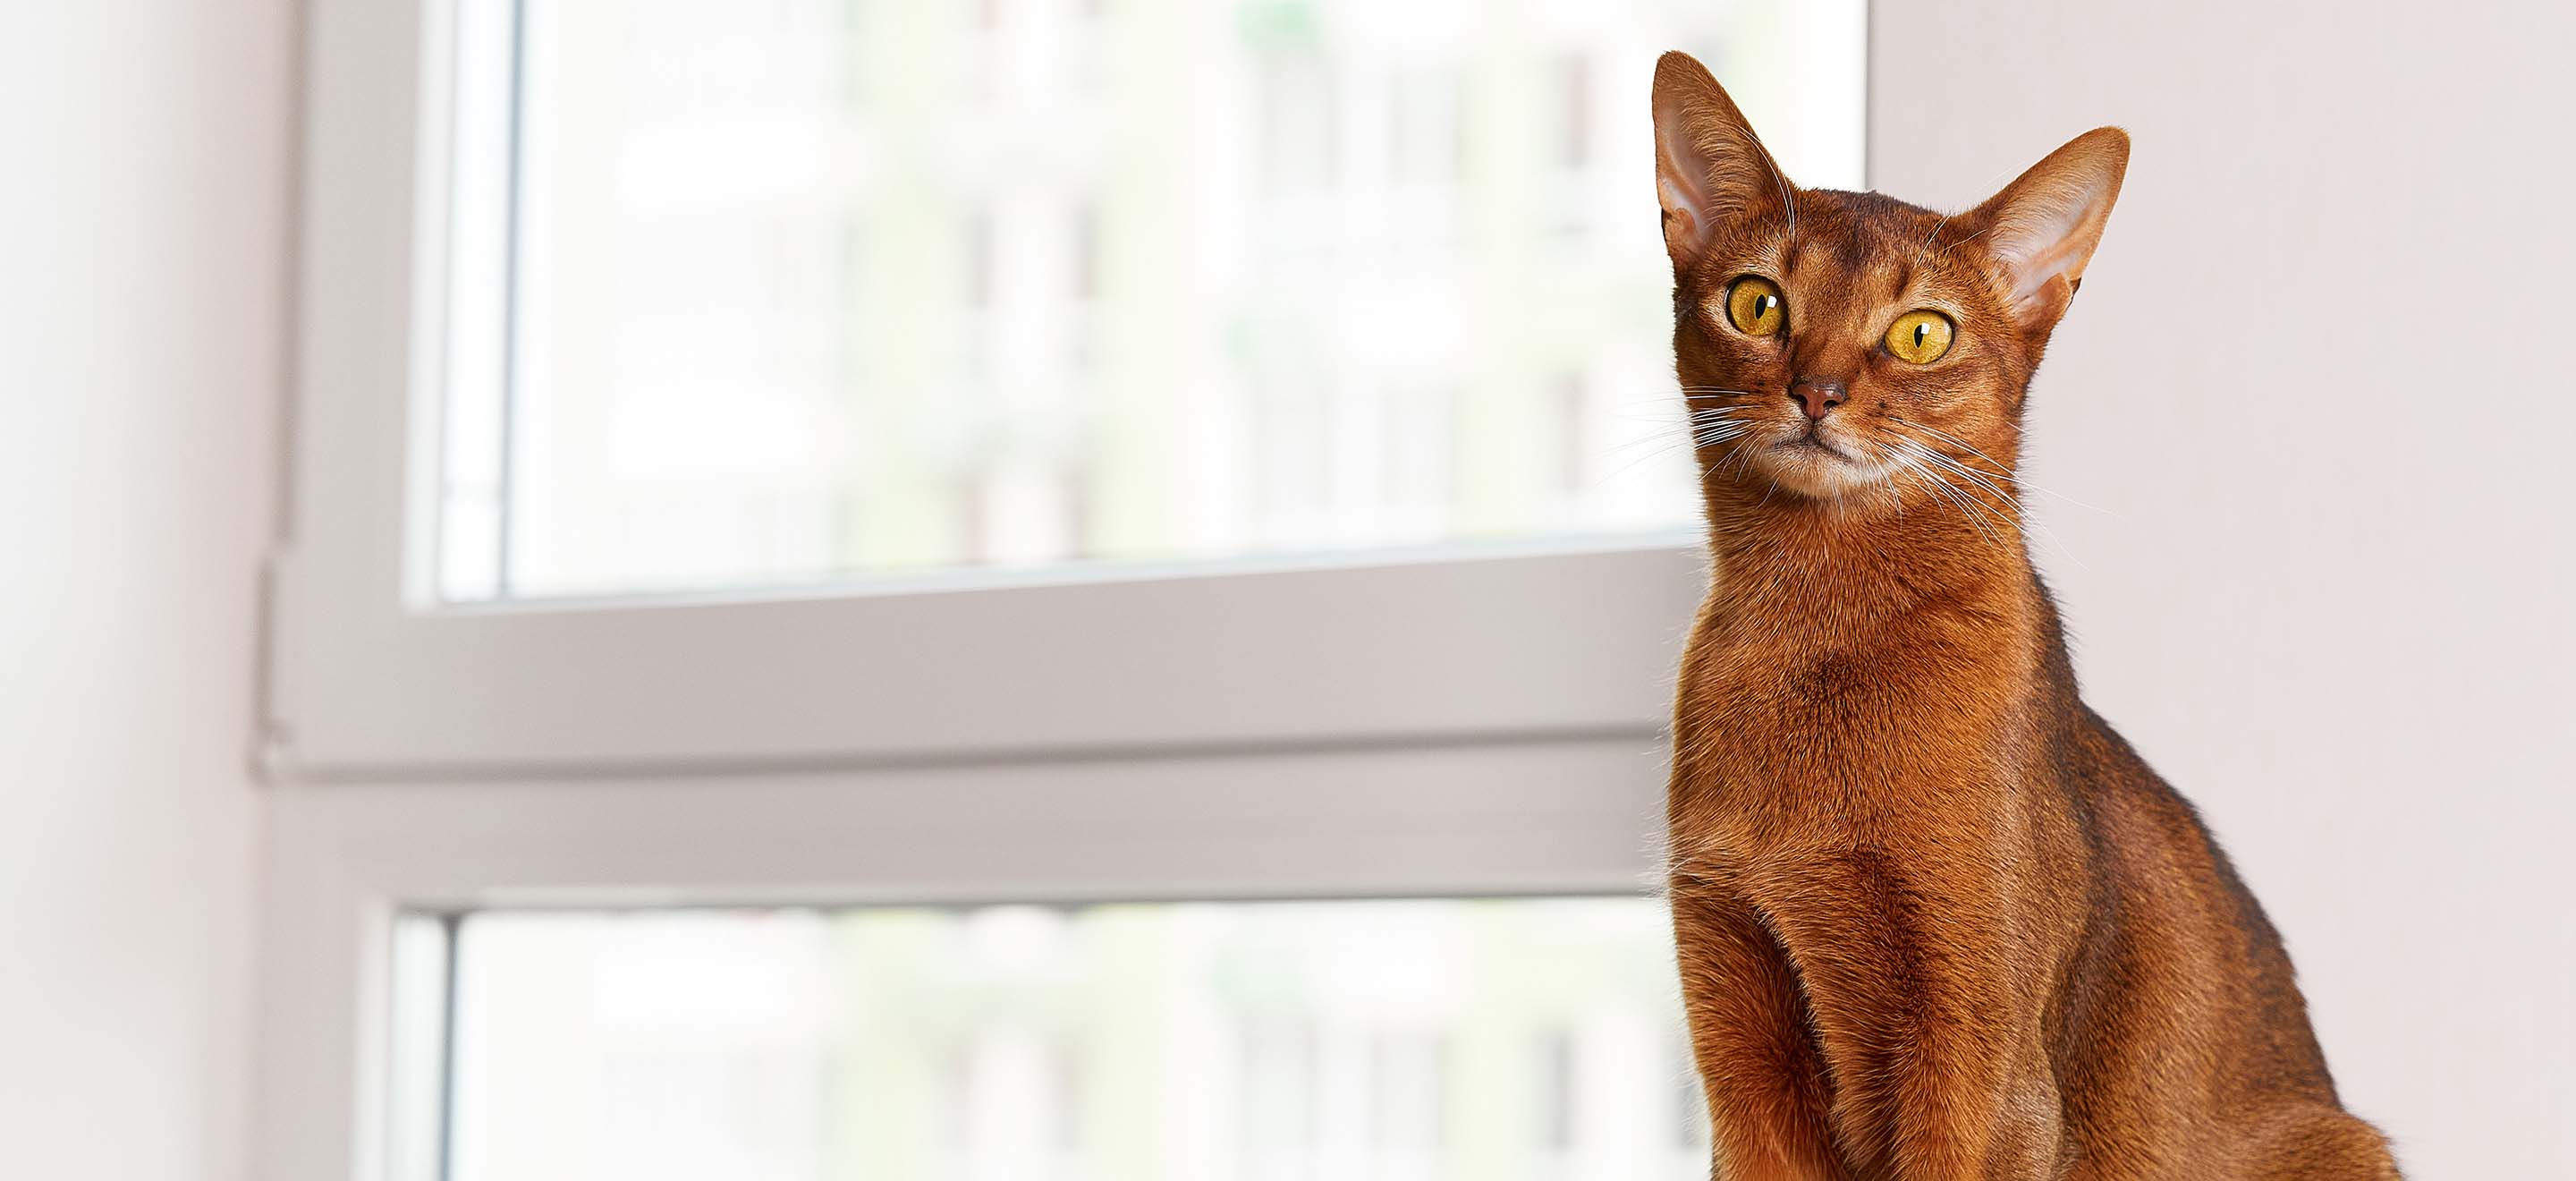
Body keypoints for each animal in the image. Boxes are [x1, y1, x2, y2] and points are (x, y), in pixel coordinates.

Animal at [1658, 48, 2401, 1181]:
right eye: (1755, 303)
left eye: (1922, 333)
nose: (1816, 391)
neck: (1816, 626)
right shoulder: (1736, 1032)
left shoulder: (1981, 1066)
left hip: (2343, 1143)